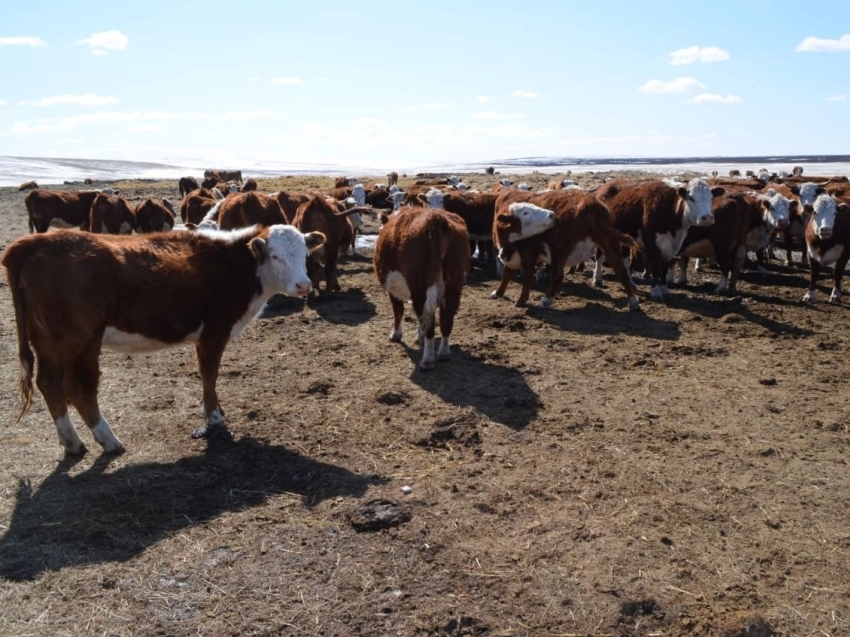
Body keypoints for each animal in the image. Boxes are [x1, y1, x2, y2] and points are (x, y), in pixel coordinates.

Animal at [2, 222, 328, 452]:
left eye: (305, 254)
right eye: (275, 256)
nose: (303, 285)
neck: (235, 264)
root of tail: (35, 241)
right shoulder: (215, 330)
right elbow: (209, 374)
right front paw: (214, 417)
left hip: (44, 338)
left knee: (49, 384)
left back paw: (71, 442)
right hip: (80, 339)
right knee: (79, 388)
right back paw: (109, 440)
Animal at [372, 206, 470, 370]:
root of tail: (435, 219)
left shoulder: (393, 290)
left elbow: (398, 310)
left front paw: (396, 334)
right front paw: (419, 336)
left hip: (420, 287)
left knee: (429, 321)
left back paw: (427, 360)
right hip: (453, 284)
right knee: (446, 318)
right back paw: (443, 353)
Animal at [486, 190, 640, 310]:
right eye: (525, 213)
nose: (551, 215)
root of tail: (589, 203)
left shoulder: (528, 255)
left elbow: (526, 277)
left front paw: (521, 300)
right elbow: (506, 275)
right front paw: (498, 293)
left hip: (558, 249)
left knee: (558, 275)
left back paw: (545, 300)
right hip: (608, 243)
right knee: (621, 271)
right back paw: (633, 302)